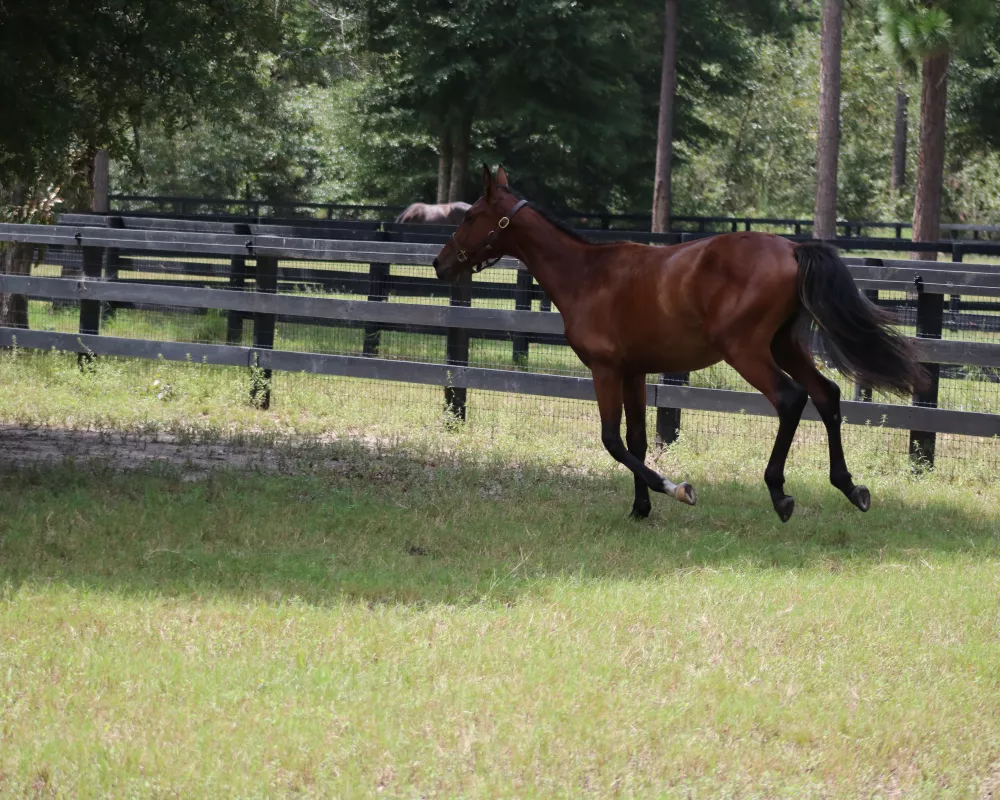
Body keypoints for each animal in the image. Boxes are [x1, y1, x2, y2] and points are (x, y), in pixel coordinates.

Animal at [430, 166, 920, 520]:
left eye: (469, 216)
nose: (439, 264)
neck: (586, 275)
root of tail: (793, 248)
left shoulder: (605, 370)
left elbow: (612, 441)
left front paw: (677, 490)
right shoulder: (634, 372)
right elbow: (637, 441)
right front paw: (640, 508)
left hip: (746, 351)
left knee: (791, 398)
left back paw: (780, 493)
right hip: (784, 345)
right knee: (827, 395)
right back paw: (850, 486)